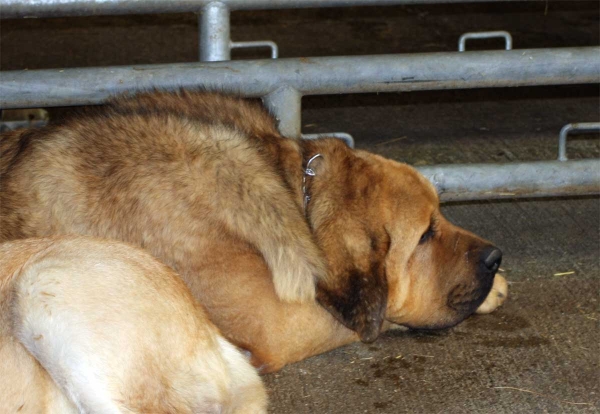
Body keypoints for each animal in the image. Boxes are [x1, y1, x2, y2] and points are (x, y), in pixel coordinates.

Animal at [0, 90, 506, 372]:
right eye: (424, 235)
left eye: (441, 215)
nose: (495, 257)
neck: (295, 195)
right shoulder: (278, 325)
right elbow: (376, 317)